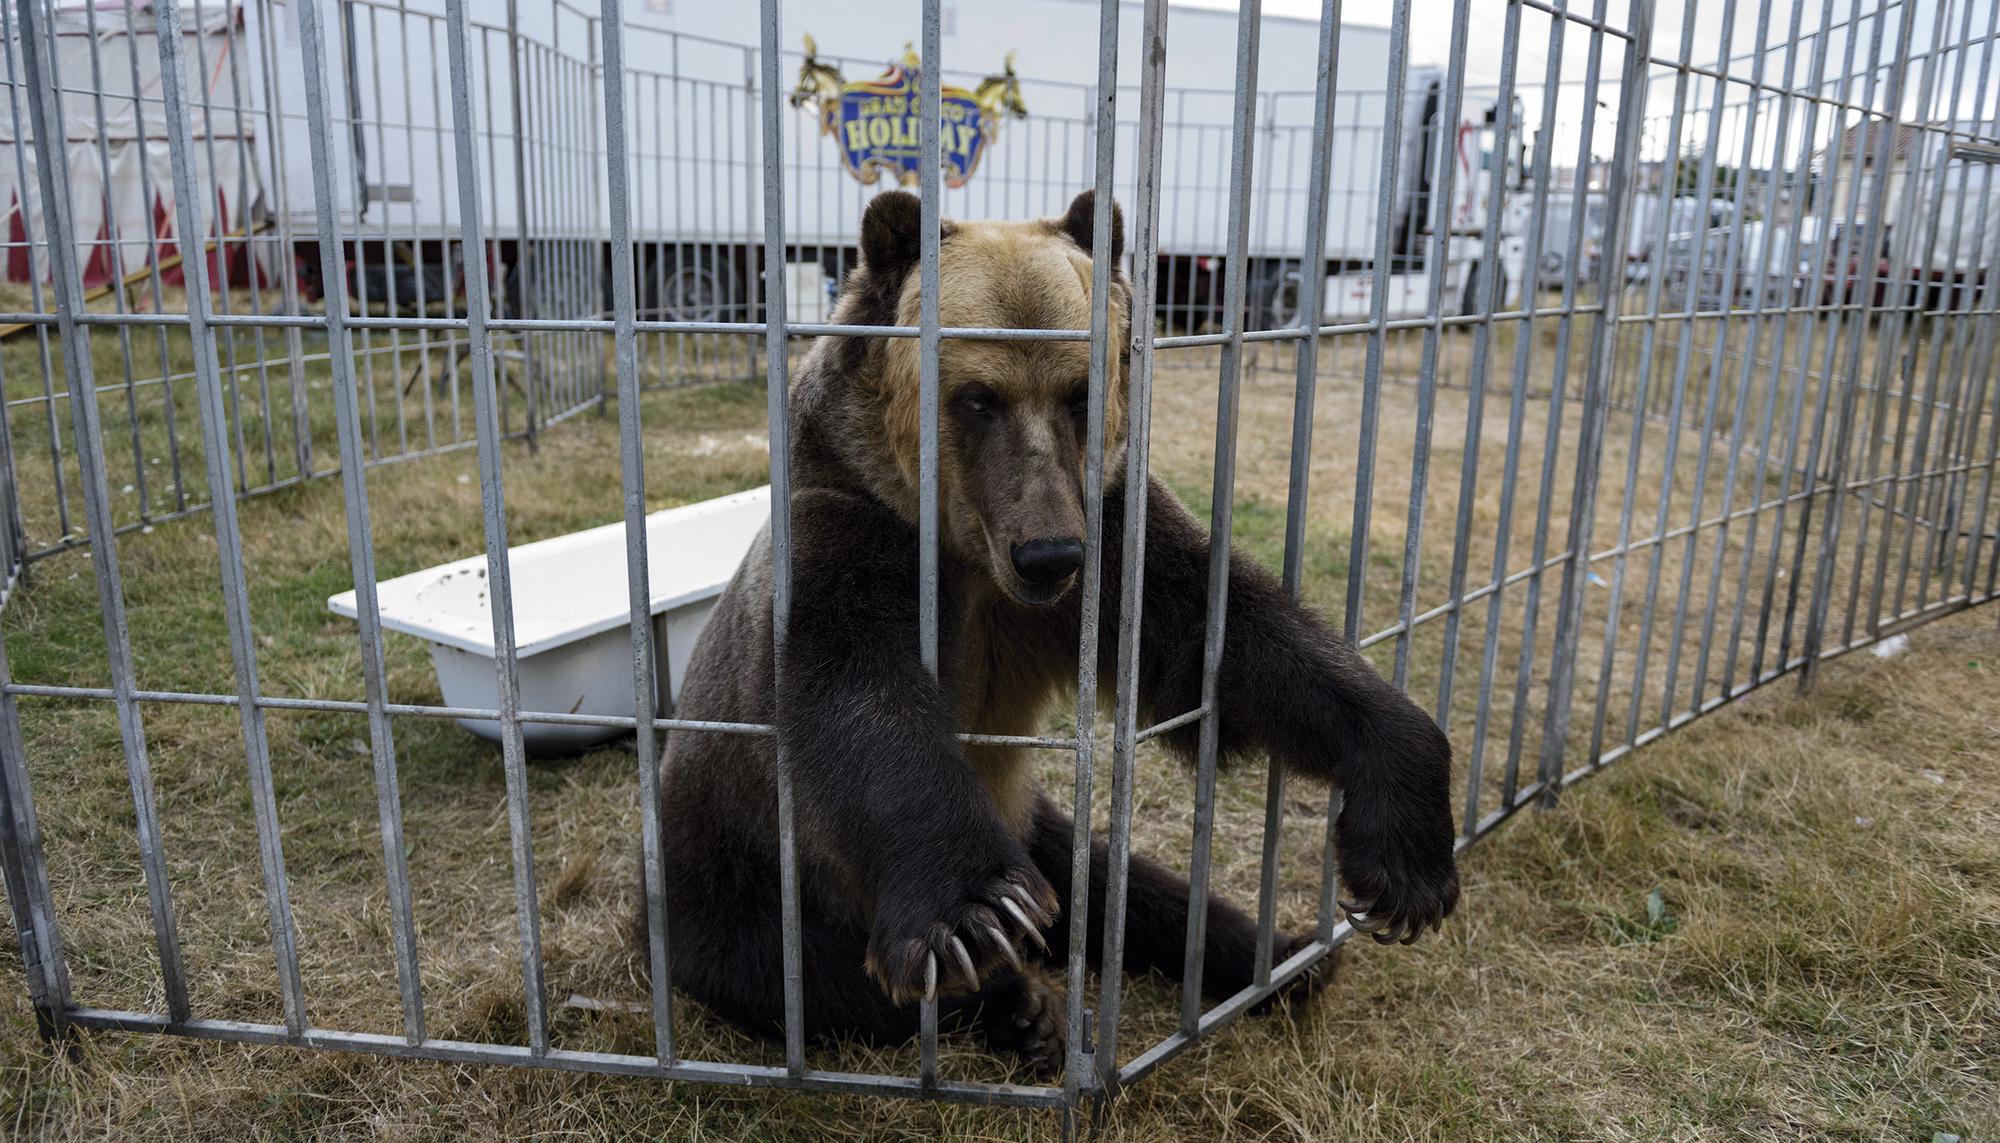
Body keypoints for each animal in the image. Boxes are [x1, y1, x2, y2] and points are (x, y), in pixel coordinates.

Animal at [648, 187, 1464, 1071]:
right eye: (979, 397)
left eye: (1081, 392)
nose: (1047, 553)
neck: (972, 559)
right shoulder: (850, 536)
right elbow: (862, 704)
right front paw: (977, 915)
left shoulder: (1110, 541)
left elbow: (1231, 644)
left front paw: (1407, 864)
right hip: (734, 876)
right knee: (805, 973)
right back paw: (1019, 1002)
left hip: (1032, 818)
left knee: (1124, 885)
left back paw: (1279, 955)